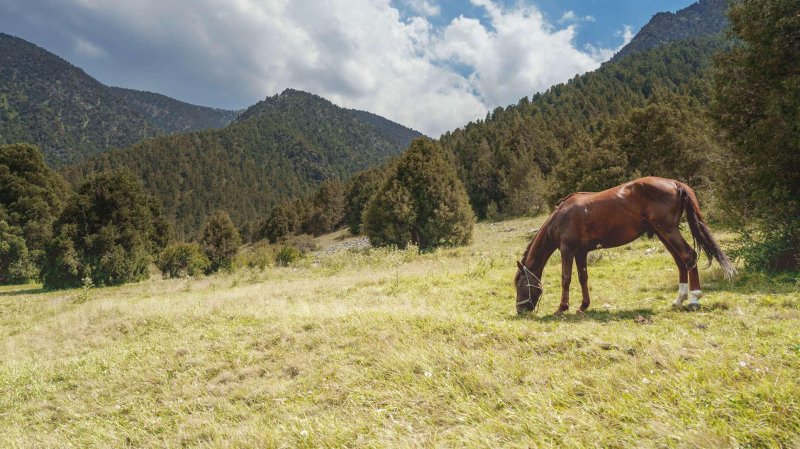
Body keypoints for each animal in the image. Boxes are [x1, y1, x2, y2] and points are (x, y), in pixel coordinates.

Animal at [516, 176, 736, 316]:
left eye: (519, 284)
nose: (520, 310)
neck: (560, 216)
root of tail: (675, 183)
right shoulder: (581, 253)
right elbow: (582, 278)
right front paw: (583, 306)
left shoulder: (567, 250)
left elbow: (566, 279)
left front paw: (562, 308)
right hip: (662, 233)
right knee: (680, 260)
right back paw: (679, 299)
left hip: (668, 230)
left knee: (689, 256)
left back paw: (694, 299)